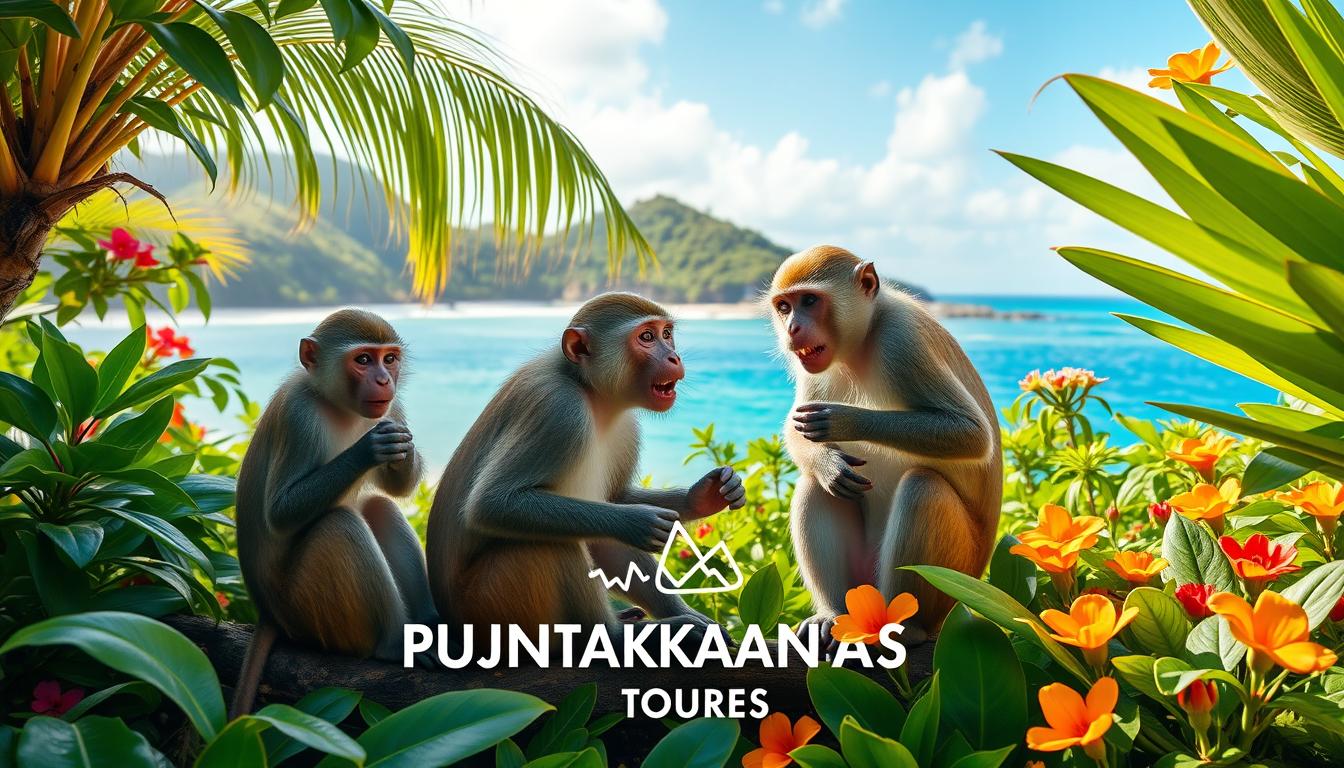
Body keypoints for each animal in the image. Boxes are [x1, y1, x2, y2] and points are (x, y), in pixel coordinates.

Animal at [229, 309, 436, 717]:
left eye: (390, 359)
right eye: (363, 360)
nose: (384, 379)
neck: (336, 404)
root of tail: (269, 612)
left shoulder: (390, 408)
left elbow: (396, 490)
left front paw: (402, 447)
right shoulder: (298, 415)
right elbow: (280, 512)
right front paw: (367, 449)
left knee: (378, 507)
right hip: (306, 610)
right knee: (341, 524)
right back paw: (394, 646)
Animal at [425, 292, 747, 648]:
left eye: (667, 334)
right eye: (647, 337)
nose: (673, 357)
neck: (589, 391)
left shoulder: (627, 427)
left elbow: (615, 498)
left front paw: (703, 496)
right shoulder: (560, 412)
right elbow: (491, 504)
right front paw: (639, 521)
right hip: (491, 607)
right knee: (549, 542)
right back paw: (615, 635)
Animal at [766, 246, 1001, 646]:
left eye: (810, 301)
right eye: (784, 306)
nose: (793, 329)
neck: (860, 344)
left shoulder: (901, 340)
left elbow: (970, 433)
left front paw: (843, 420)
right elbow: (798, 430)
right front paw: (827, 463)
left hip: (954, 575)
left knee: (923, 487)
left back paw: (904, 627)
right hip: (862, 581)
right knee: (817, 487)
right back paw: (832, 614)